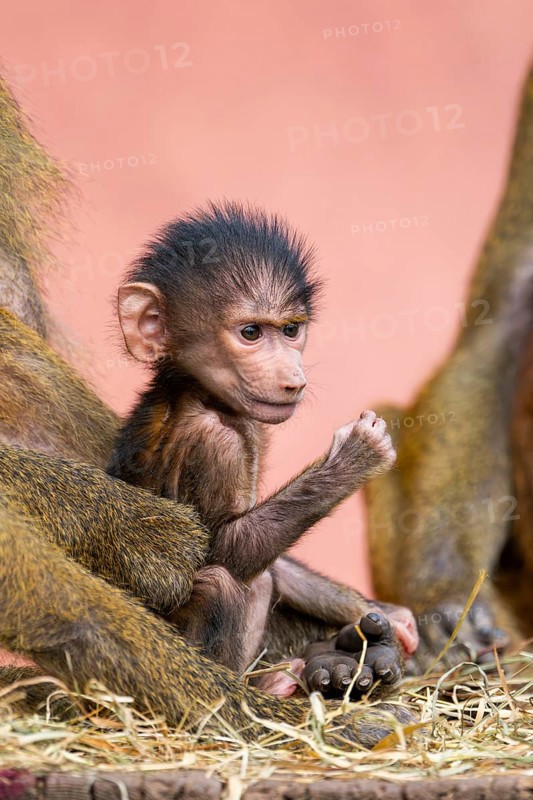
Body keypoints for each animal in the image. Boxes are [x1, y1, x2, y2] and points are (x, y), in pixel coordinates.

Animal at [107, 202, 418, 696]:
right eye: (251, 332)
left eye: (290, 330)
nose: (293, 377)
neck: (200, 394)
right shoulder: (216, 443)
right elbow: (223, 551)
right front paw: (356, 457)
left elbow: (272, 564)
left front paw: (382, 613)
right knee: (221, 582)